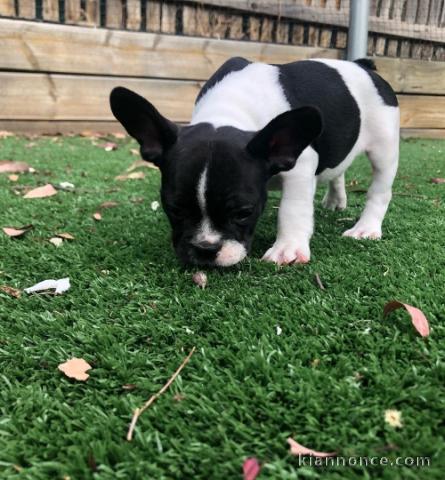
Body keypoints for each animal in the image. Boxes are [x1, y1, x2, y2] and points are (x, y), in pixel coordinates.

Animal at [108, 57, 398, 266]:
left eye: (243, 213)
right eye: (174, 209)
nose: (206, 248)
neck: (229, 110)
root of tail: (364, 65)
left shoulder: (302, 164)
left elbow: (292, 209)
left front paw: (287, 248)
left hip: (384, 146)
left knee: (380, 190)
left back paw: (366, 228)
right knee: (338, 169)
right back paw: (335, 200)